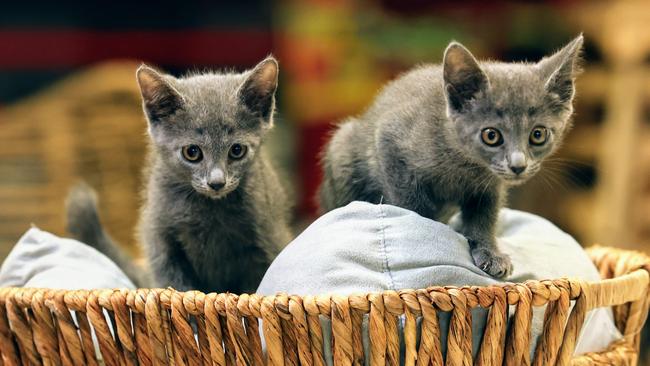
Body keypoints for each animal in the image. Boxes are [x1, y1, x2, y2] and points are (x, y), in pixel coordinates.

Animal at [66, 56, 292, 292]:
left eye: (237, 150)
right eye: (192, 152)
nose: (217, 182)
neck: (209, 210)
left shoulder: (266, 237)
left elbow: (256, 286)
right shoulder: (159, 238)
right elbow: (175, 284)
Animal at [318, 36, 584, 278]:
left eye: (538, 134)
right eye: (491, 135)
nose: (518, 165)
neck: (465, 163)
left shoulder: (489, 186)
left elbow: (485, 217)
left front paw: (489, 252)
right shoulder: (390, 141)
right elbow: (413, 204)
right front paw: (428, 232)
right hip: (342, 150)